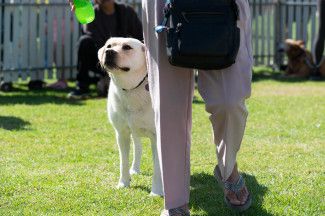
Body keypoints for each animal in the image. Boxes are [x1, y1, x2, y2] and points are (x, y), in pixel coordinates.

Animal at [96, 37, 162, 196]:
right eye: (109, 45)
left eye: (127, 47)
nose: (109, 52)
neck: (131, 89)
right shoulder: (122, 133)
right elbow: (123, 161)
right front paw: (123, 183)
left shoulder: (156, 135)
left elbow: (158, 166)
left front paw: (156, 191)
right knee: (138, 147)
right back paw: (135, 169)